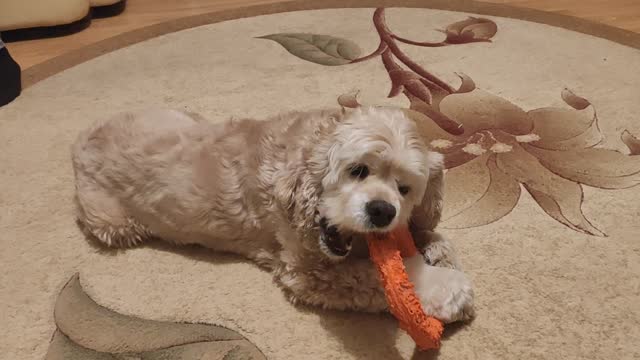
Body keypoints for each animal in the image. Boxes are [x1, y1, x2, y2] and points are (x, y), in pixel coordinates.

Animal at [72, 105, 476, 322]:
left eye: (404, 189)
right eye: (358, 170)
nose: (382, 211)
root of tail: (82, 138)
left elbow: (431, 234)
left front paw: (439, 250)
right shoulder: (306, 272)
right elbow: (376, 279)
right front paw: (444, 287)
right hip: (112, 222)